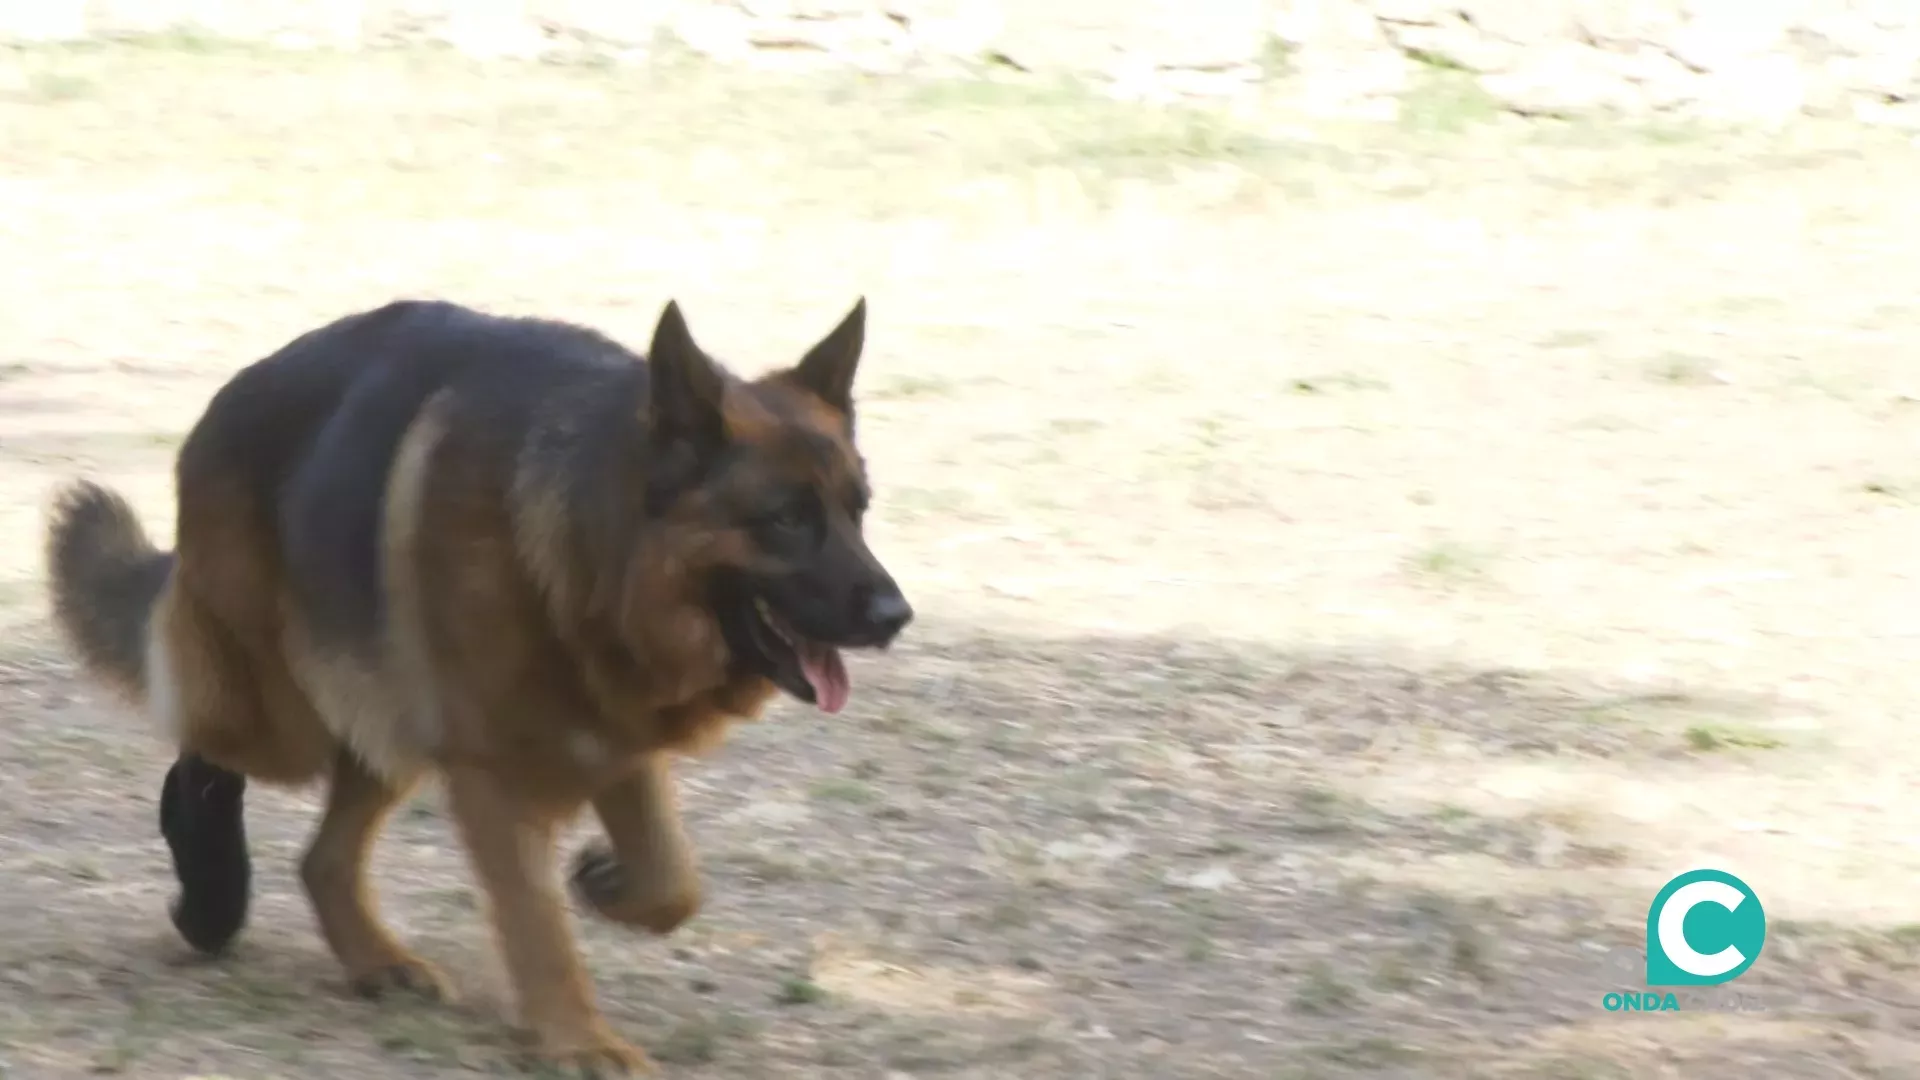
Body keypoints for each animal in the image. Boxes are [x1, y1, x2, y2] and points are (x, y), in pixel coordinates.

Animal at [43, 294, 913, 1068]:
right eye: (786, 520)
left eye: (858, 511)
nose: (896, 614)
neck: (587, 557)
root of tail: (233, 394)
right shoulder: (494, 775)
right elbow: (537, 925)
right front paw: (582, 1044)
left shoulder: (616, 739)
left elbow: (673, 881)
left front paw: (608, 883)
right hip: (283, 711)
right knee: (208, 758)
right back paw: (212, 897)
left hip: (386, 717)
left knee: (323, 857)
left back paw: (374, 958)